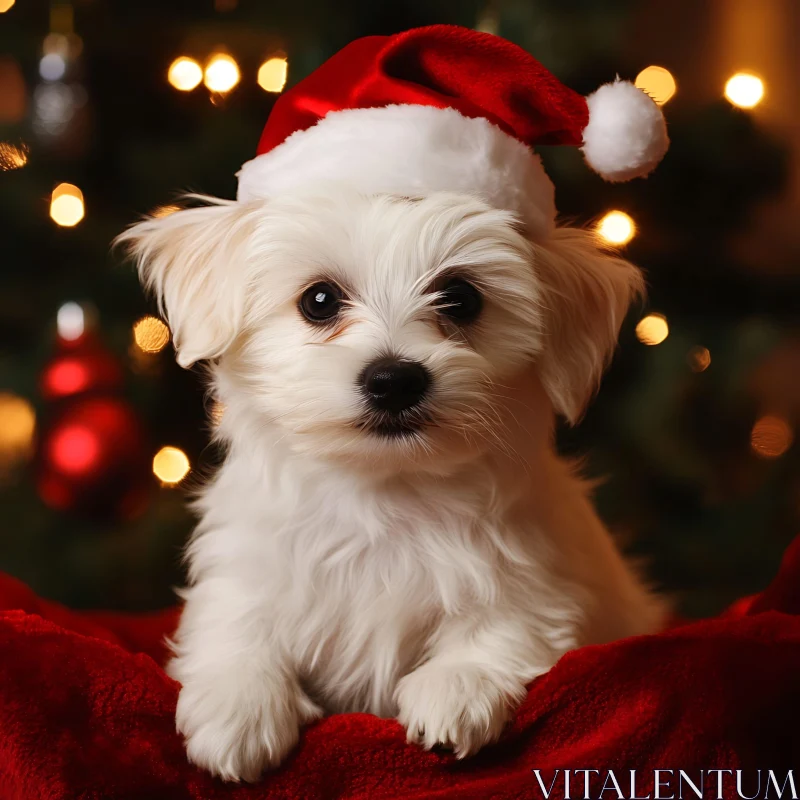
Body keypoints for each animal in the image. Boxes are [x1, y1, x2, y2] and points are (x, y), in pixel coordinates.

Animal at [120, 189, 668, 780]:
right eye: (319, 300)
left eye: (461, 299)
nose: (394, 379)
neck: (387, 489)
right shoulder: (245, 562)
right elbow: (235, 619)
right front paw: (239, 703)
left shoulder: (539, 577)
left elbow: (508, 627)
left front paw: (458, 686)